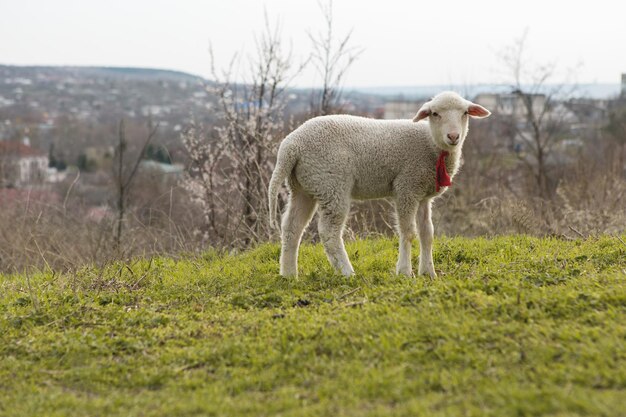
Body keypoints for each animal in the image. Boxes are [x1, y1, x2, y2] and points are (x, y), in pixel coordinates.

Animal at [266, 92, 490, 278]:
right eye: (435, 114)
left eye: (465, 113)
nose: (453, 136)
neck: (431, 144)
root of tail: (291, 144)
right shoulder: (407, 187)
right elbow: (408, 232)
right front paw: (405, 272)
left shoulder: (423, 195)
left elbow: (427, 234)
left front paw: (428, 272)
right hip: (331, 184)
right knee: (329, 233)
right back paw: (347, 272)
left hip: (305, 186)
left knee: (292, 227)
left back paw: (289, 274)